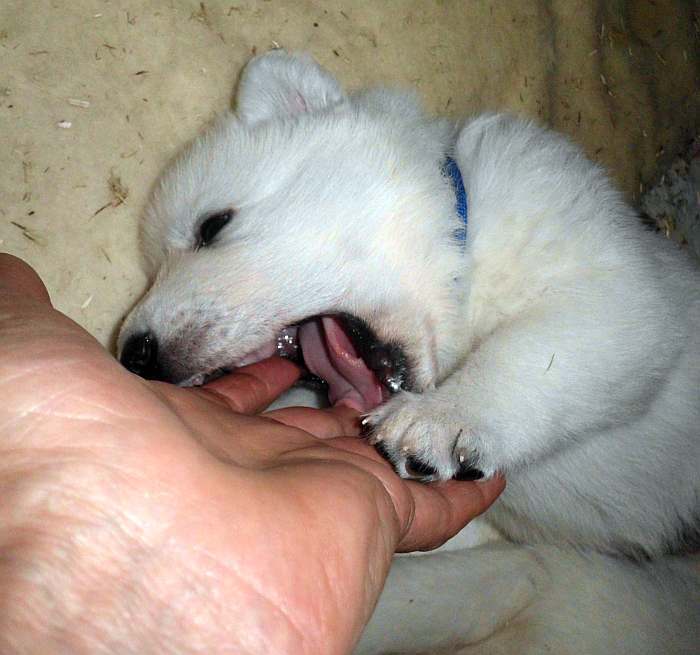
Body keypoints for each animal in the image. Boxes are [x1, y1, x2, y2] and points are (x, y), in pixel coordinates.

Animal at [116, 50, 700, 652]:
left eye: (212, 226)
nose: (134, 354)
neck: (462, 287)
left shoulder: (621, 294)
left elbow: (538, 352)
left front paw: (442, 419)